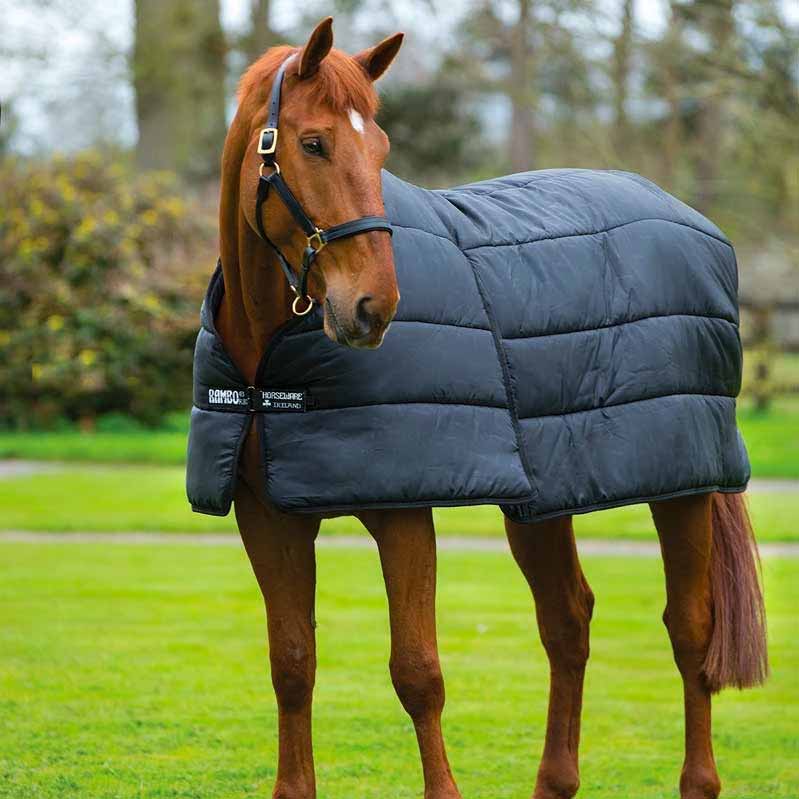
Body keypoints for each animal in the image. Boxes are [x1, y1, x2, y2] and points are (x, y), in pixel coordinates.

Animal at [212, 17, 767, 799]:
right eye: (313, 143)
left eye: (380, 149)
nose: (373, 306)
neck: (268, 360)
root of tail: (693, 220)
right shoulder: (269, 517)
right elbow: (292, 663)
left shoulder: (402, 512)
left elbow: (417, 672)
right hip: (547, 495)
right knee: (567, 620)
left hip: (682, 486)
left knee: (690, 629)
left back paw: (697, 781)